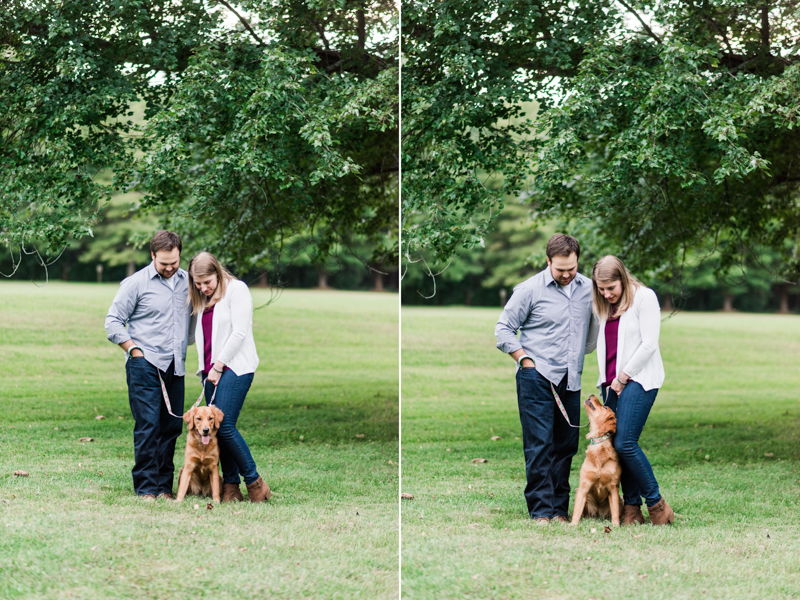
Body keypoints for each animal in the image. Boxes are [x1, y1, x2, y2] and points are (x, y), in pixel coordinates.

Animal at [568, 396, 624, 528]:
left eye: (605, 407)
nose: (592, 395)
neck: (599, 443)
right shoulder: (583, 486)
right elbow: (576, 511)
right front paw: (573, 525)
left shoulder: (613, 487)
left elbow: (615, 511)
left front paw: (616, 526)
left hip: (621, 499)